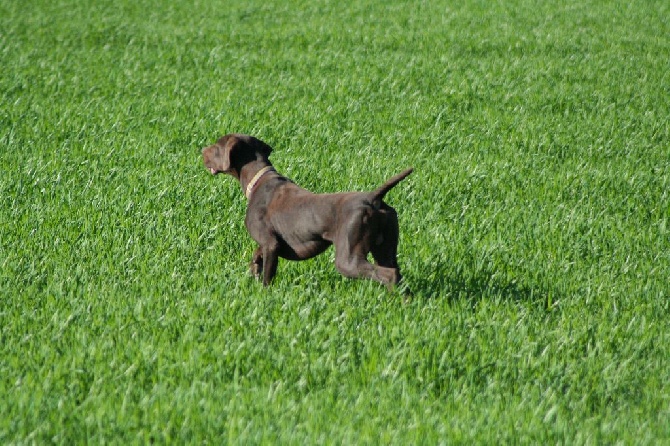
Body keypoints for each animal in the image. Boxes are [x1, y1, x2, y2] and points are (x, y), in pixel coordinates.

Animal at [203, 132, 414, 288]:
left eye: (216, 147)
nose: (202, 150)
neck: (258, 181)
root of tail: (372, 197)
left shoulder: (271, 243)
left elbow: (267, 277)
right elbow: (257, 255)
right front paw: (254, 266)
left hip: (348, 259)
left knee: (390, 275)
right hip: (385, 248)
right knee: (395, 271)